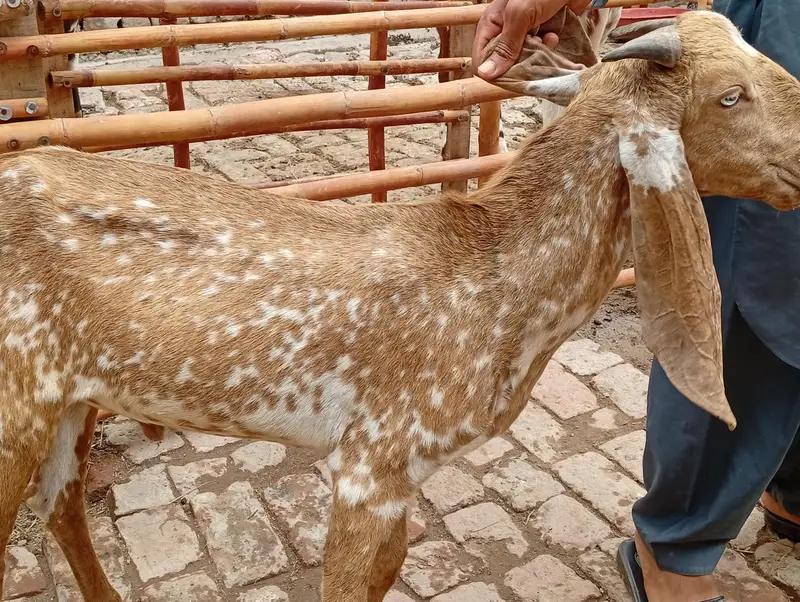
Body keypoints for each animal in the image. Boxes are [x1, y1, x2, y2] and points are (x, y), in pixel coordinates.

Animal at [2, 10, 800, 602]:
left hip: (69, 397)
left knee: (60, 503)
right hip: (16, 398)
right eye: (730, 95)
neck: (495, 290)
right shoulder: (372, 461)